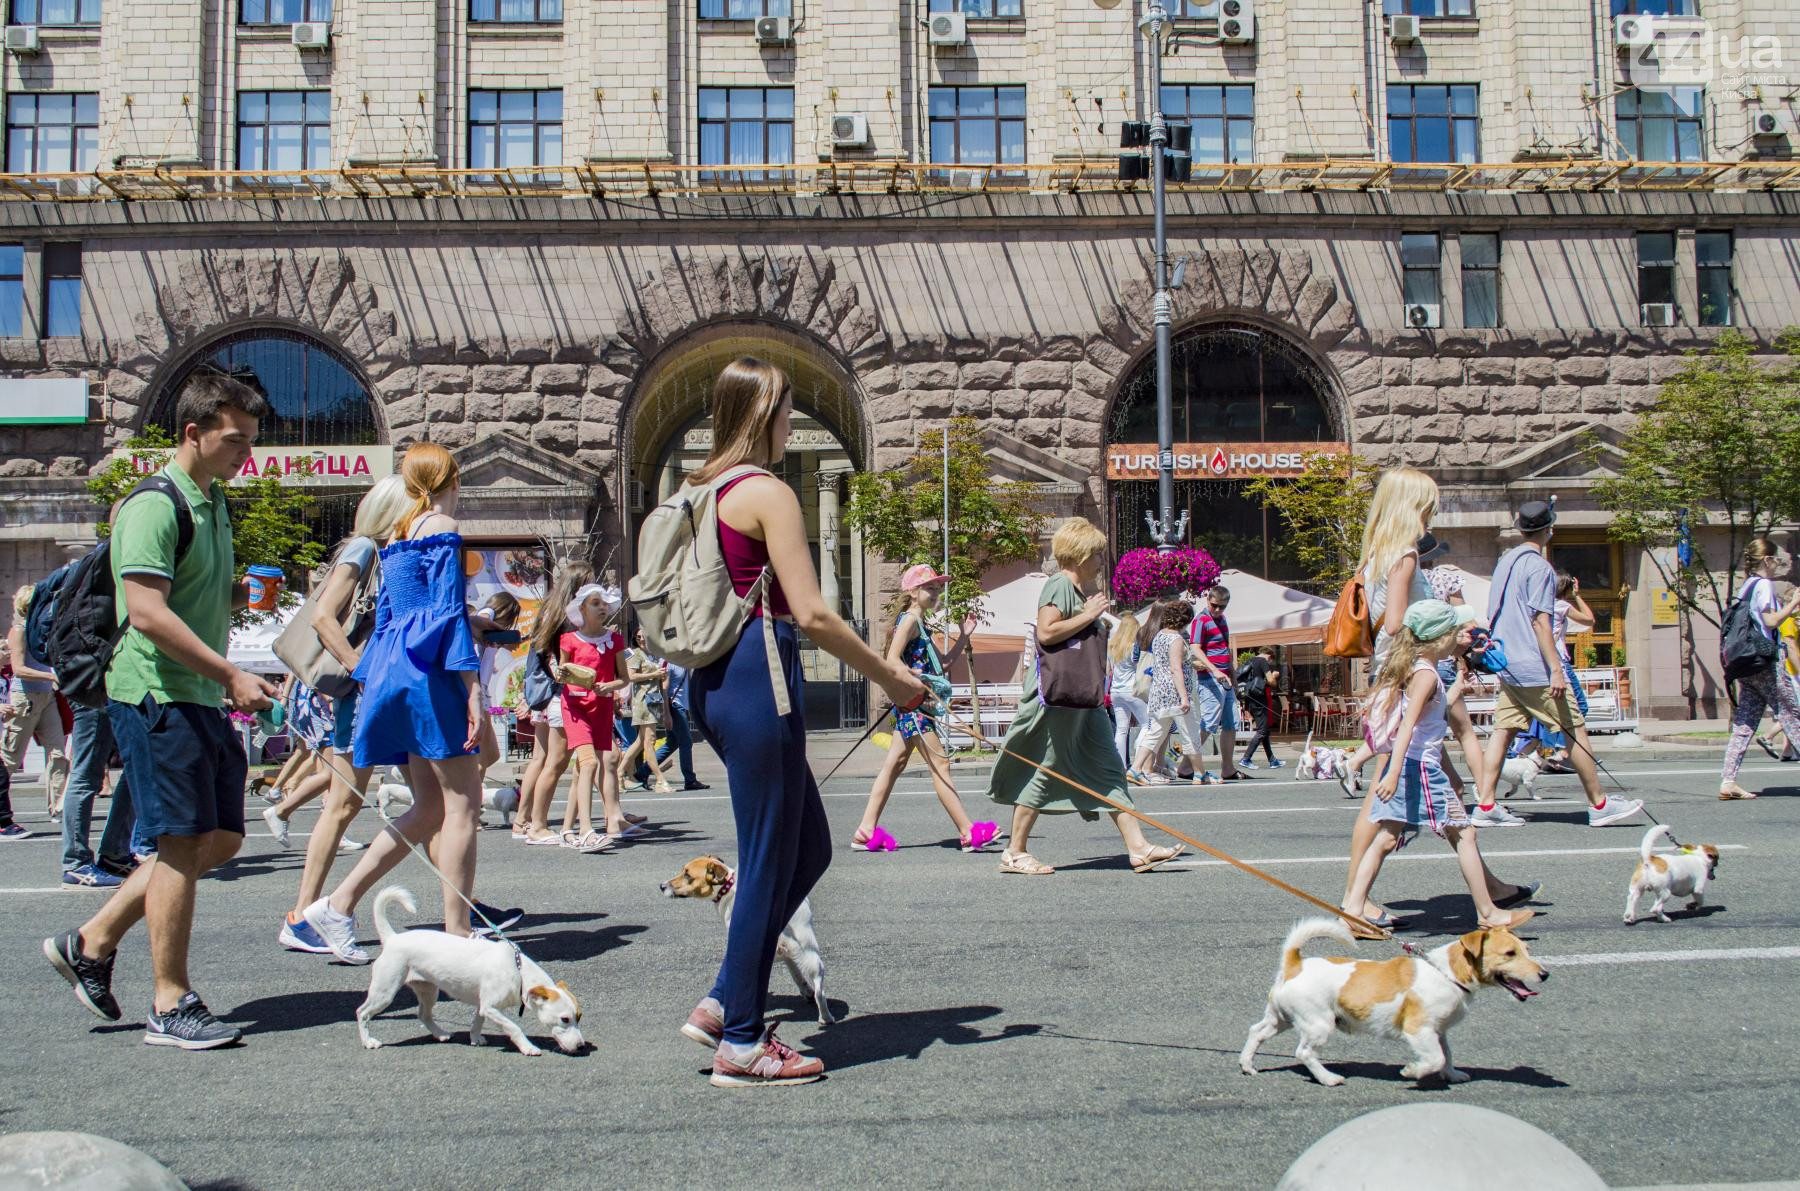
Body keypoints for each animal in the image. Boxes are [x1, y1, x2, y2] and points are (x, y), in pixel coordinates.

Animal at [358, 892, 590, 1057]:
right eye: (565, 1019)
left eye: (579, 1017)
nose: (581, 1046)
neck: (518, 971)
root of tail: (392, 938)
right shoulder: (491, 1007)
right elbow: (513, 1027)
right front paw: (528, 1047)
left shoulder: (483, 1005)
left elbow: (477, 1022)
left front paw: (475, 1038)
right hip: (385, 991)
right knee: (362, 1013)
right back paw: (368, 1041)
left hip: (428, 990)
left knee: (423, 1014)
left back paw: (440, 1034)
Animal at [662, 859, 835, 1029]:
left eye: (687, 875)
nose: (661, 886)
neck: (727, 887)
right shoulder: (790, 956)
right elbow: (797, 975)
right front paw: (806, 991)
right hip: (811, 954)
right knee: (820, 991)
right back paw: (826, 1018)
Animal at [1238, 913, 1548, 1093]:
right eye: (1509, 953)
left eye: (1526, 949)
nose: (1545, 974)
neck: (1447, 972)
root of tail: (1295, 964)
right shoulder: (1418, 1029)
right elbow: (1434, 1058)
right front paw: (1412, 1071)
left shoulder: (1439, 1030)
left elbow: (1446, 1054)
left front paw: (1452, 1074)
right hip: (1318, 1024)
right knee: (1304, 1053)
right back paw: (1328, 1078)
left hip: (1280, 1018)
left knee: (1256, 1031)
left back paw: (1247, 1065)